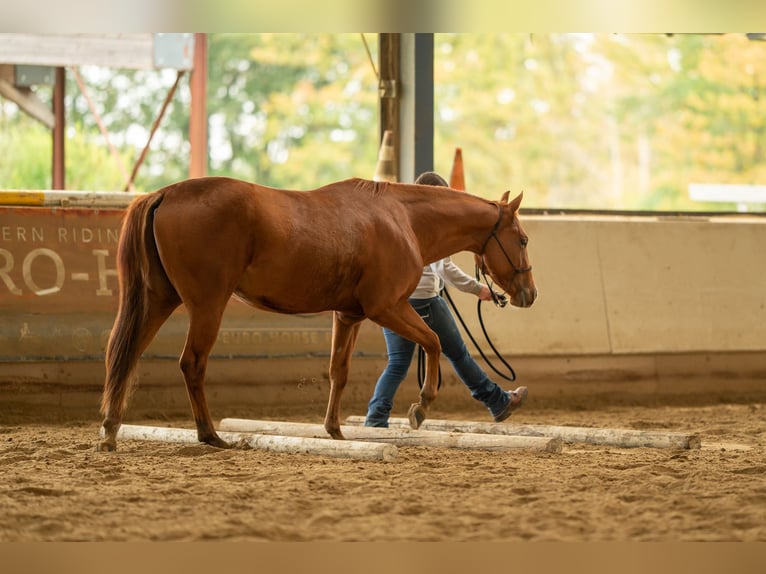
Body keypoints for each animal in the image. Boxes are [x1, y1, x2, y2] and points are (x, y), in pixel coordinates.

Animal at [97, 178, 540, 452]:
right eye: (522, 239)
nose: (529, 294)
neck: (403, 220)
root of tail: (164, 194)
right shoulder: (386, 308)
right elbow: (433, 342)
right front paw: (421, 407)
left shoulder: (348, 316)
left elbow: (337, 371)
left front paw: (335, 430)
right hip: (207, 304)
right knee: (192, 363)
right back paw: (209, 435)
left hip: (157, 300)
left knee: (125, 357)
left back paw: (110, 431)